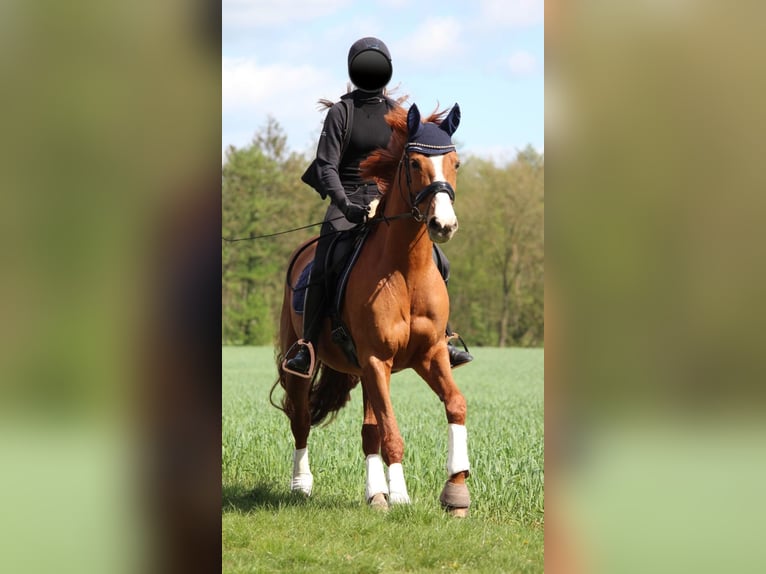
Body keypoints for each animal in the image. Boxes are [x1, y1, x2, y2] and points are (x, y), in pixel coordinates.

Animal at [270, 101, 474, 516]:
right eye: (414, 162)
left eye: (456, 163)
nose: (443, 224)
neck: (406, 270)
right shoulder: (378, 359)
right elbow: (392, 433)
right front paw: (402, 496)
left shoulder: (429, 355)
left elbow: (455, 405)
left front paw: (456, 492)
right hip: (307, 364)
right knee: (301, 419)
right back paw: (302, 485)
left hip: (364, 370)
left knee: (368, 430)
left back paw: (375, 493)